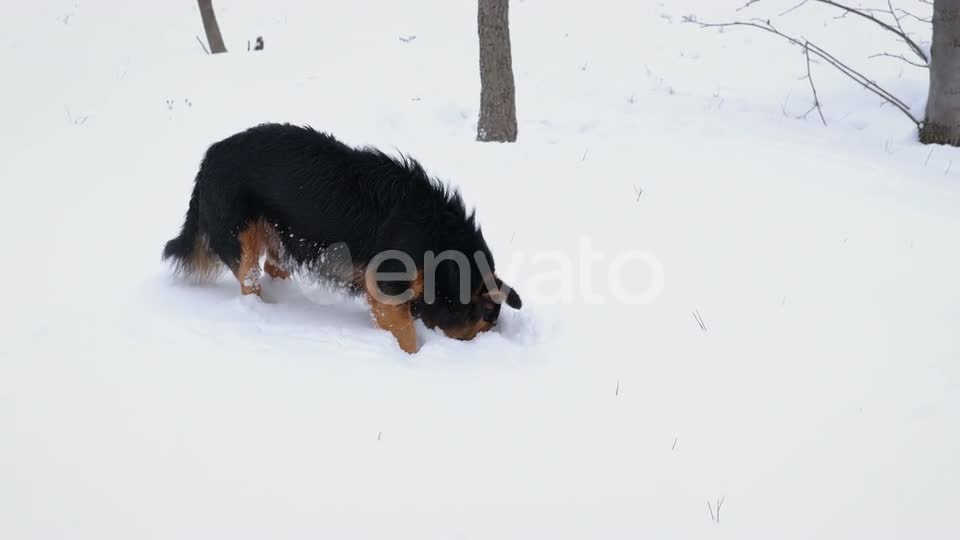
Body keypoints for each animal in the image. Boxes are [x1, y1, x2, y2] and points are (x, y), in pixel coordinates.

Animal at [165, 122, 524, 352]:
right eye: (484, 325)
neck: (439, 243)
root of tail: (209, 156)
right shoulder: (387, 287)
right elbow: (406, 336)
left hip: (280, 233)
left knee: (270, 267)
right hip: (242, 233)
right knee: (249, 278)